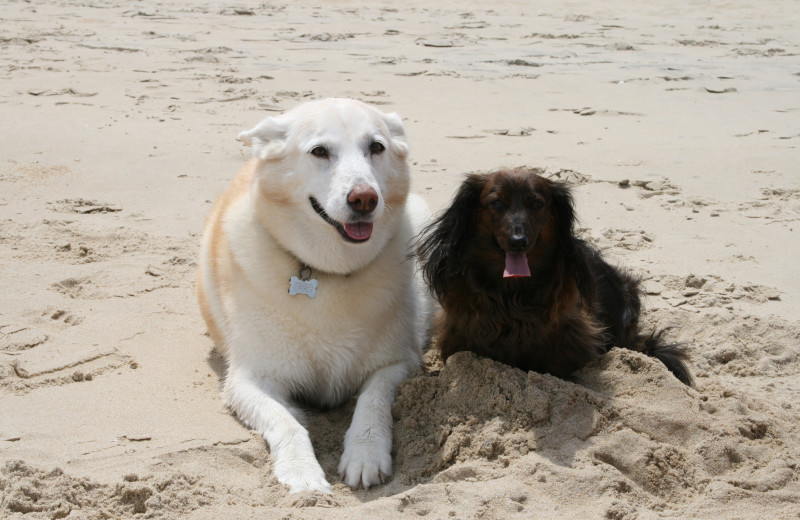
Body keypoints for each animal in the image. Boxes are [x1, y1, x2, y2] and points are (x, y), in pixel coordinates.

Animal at [196, 99, 432, 494]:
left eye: (376, 147)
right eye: (320, 151)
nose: (365, 198)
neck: (326, 271)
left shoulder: (398, 364)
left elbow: (372, 403)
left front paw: (365, 455)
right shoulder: (248, 380)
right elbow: (286, 421)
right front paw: (302, 472)